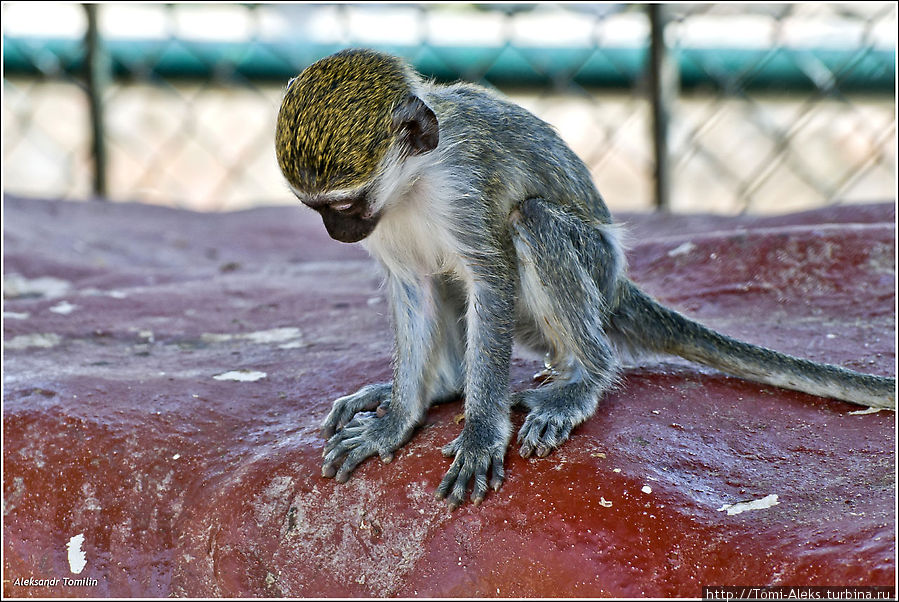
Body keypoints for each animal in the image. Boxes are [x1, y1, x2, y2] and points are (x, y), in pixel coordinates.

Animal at [274, 49, 892, 506]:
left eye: (345, 205)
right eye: (318, 209)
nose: (336, 232)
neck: (415, 181)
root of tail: (615, 286)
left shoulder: (464, 188)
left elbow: (491, 281)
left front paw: (480, 434)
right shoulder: (389, 232)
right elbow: (413, 290)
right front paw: (398, 419)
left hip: (593, 268)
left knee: (533, 220)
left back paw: (584, 379)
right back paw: (444, 386)